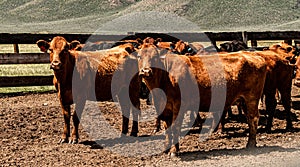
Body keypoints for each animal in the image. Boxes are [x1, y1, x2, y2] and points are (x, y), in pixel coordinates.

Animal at [137, 37, 268, 155]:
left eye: (155, 57)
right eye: (139, 56)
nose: (146, 71)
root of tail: (253, 55)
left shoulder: (178, 106)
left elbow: (175, 127)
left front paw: (174, 151)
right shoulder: (165, 108)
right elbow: (167, 129)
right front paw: (166, 148)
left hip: (252, 98)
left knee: (253, 118)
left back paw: (250, 144)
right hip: (244, 100)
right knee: (250, 119)